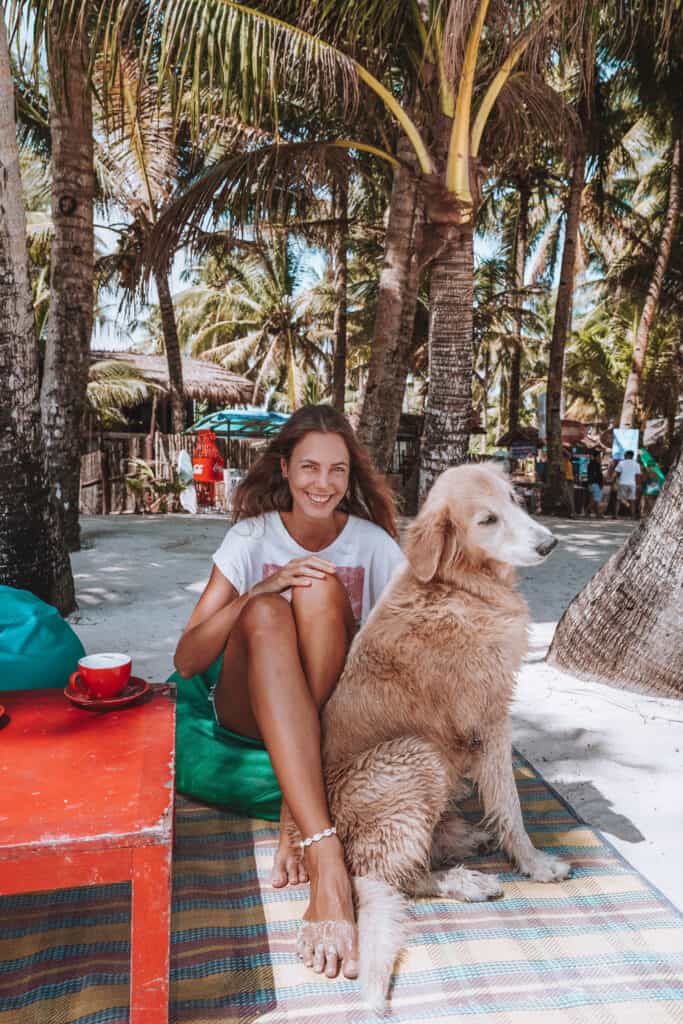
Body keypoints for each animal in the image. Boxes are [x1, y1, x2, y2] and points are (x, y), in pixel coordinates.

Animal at [315, 464, 573, 1007]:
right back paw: (464, 882)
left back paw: (464, 837)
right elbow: (511, 805)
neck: (460, 585)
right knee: (398, 875)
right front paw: (534, 865)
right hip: (418, 757)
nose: (550, 543)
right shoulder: (492, 718)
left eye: (517, 499)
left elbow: (501, 802)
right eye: (487, 520)